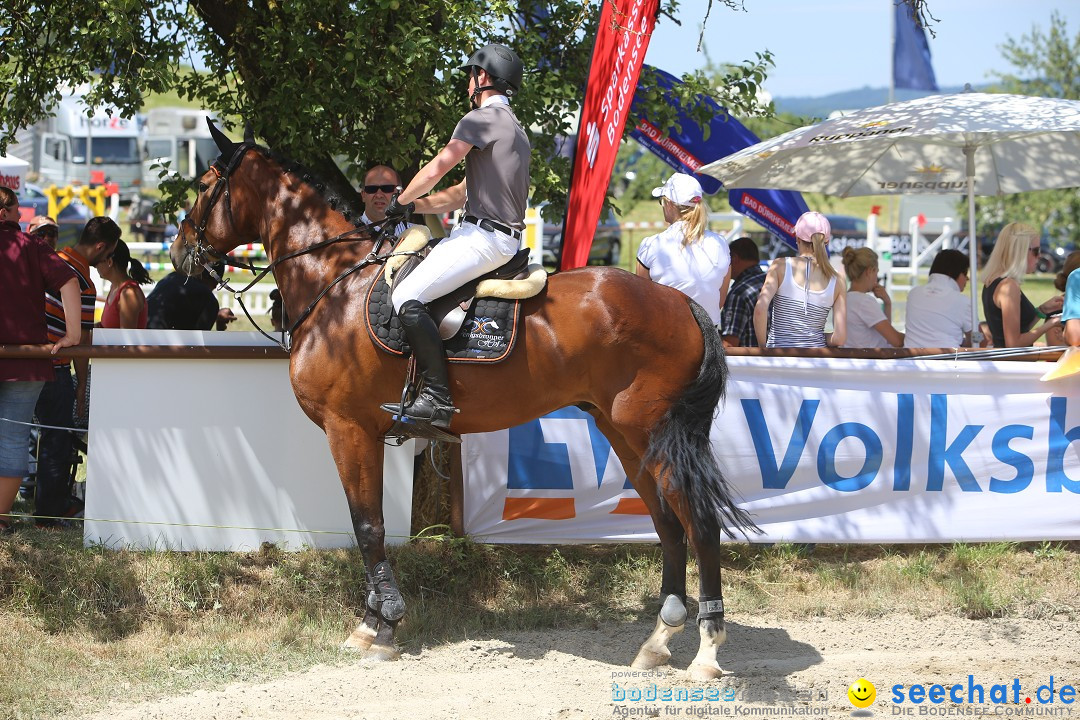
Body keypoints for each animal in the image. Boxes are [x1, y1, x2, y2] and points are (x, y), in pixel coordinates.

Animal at [172, 125, 756, 682]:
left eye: (204, 186)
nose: (180, 255)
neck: (335, 284)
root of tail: (680, 302)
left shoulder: (348, 428)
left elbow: (368, 526)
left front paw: (381, 626)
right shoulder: (363, 432)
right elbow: (370, 524)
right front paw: (376, 621)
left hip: (653, 434)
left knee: (699, 524)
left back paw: (707, 652)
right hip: (627, 436)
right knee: (667, 524)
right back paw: (658, 641)